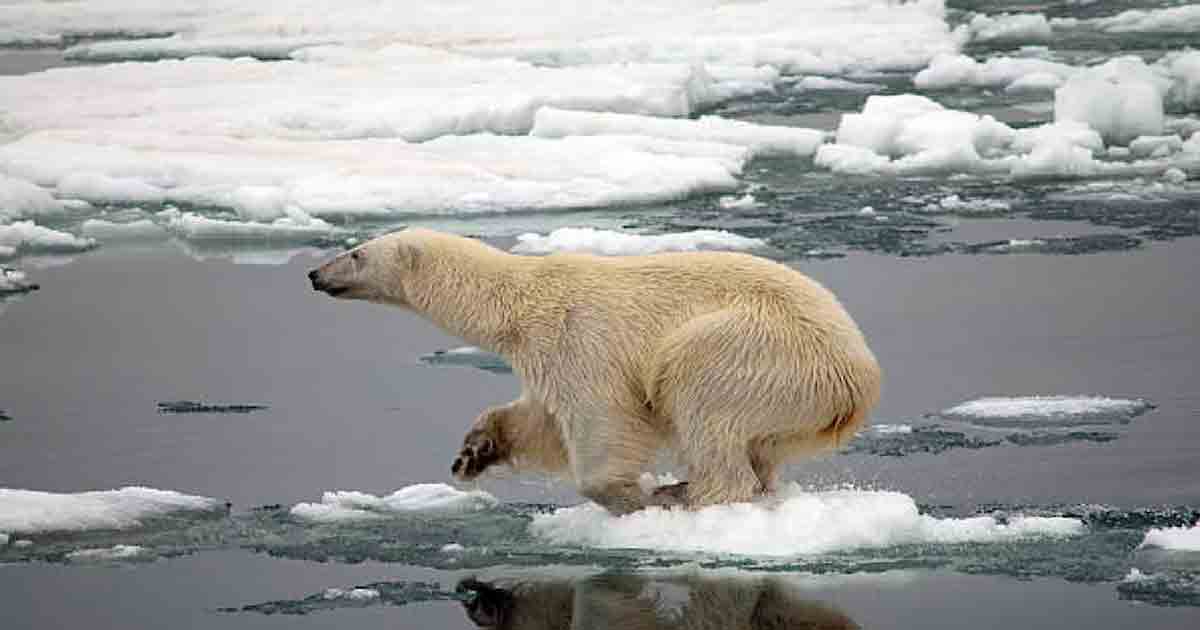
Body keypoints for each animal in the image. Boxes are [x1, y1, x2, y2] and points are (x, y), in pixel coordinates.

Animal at [309, 228, 880, 514]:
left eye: (355, 253)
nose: (314, 273)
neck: (519, 300)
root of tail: (859, 376)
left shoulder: (578, 338)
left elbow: (602, 419)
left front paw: (629, 496)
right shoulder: (543, 355)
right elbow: (537, 421)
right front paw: (474, 451)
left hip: (760, 350)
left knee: (698, 393)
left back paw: (689, 494)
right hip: (800, 403)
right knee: (760, 445)